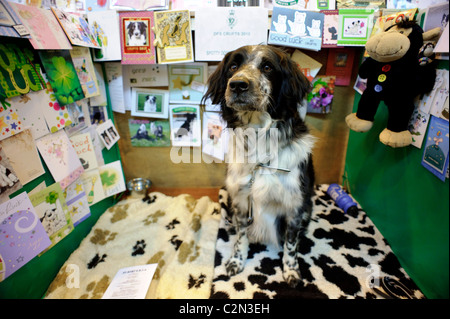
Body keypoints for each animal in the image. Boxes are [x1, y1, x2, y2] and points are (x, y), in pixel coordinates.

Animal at [202, 45, 314, 288]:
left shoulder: (295, 205)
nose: (237, 84)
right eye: (233, 66)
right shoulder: (241, 200)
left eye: (267, 67)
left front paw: (291, 272)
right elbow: (241, 236)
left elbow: (291, 245)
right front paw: (236, 261)